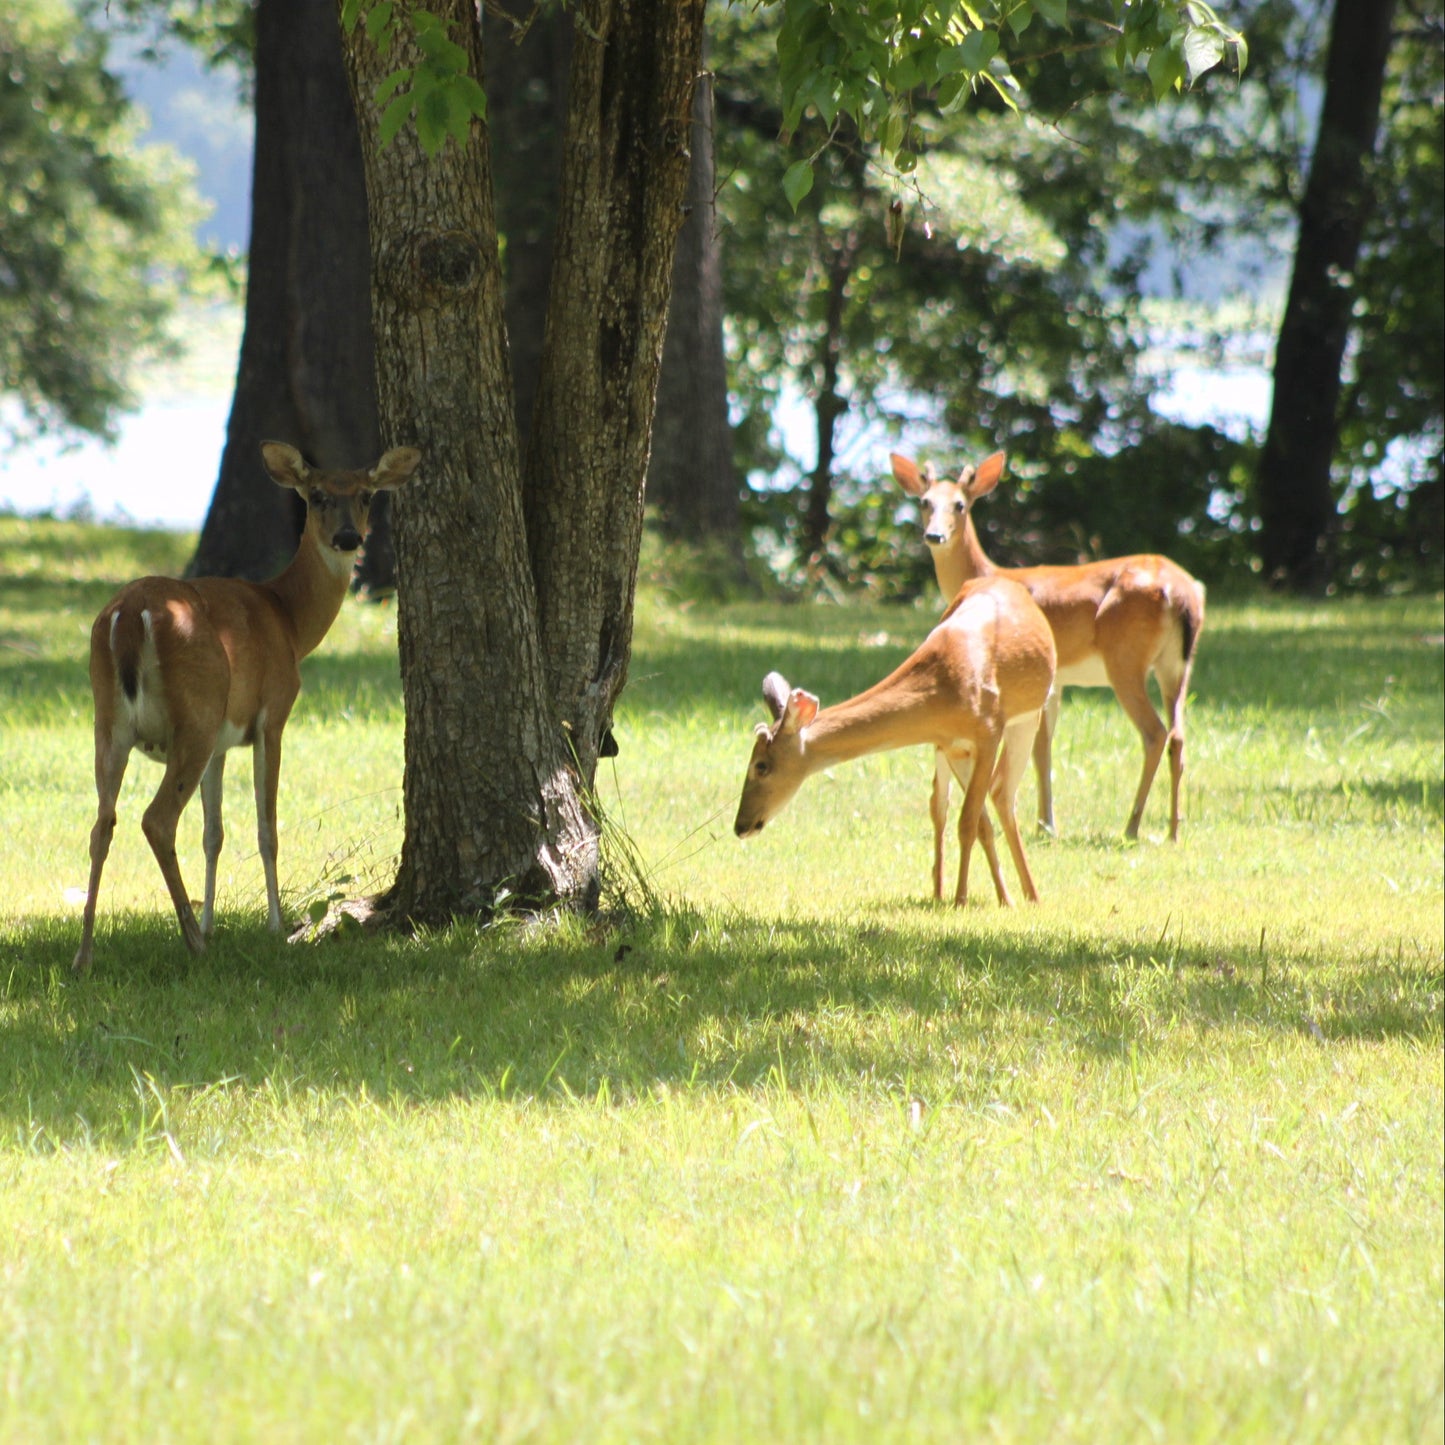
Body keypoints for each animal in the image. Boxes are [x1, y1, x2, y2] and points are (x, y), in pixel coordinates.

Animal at [71, 441, 421, 975]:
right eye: (316, 496)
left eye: (365, 495)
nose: (348, 538)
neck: (288, 619)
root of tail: (131, 614)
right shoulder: (272, 716)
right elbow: (266, 826)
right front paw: (274, 926)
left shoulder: (221, 742)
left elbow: (213, 833)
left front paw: (214, 921)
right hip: (195, 712)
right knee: (156, 820)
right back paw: (192, 944)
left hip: (109, 722)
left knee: (101, 825)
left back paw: (86, 953)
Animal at [734, 575, 1056, 909]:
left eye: (761, 766)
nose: (740, 826)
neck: (943, 690)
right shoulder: (954, 746)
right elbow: (977, 823)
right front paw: (972, 897)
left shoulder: (989, 732)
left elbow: (968, 822)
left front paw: (961, 900)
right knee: (964, 801)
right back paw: (1000, 896)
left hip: (1028, 717)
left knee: (1004, 793)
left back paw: (1031, 895)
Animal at [891, 449, 1205, 847]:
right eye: (924, 502)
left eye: (960, 504)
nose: (934, 535)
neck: (989, 575)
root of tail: (1180, 592)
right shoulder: (1055, 682)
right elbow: (1046, 747)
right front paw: (1045, 821)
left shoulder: (1041, 680)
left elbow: (1040, 747)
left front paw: (1045, 825)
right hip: (1176, 664)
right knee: (1178, 736)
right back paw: (1173, 829)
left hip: (1124, 660)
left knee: (1155, 733)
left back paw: (1132, 826)